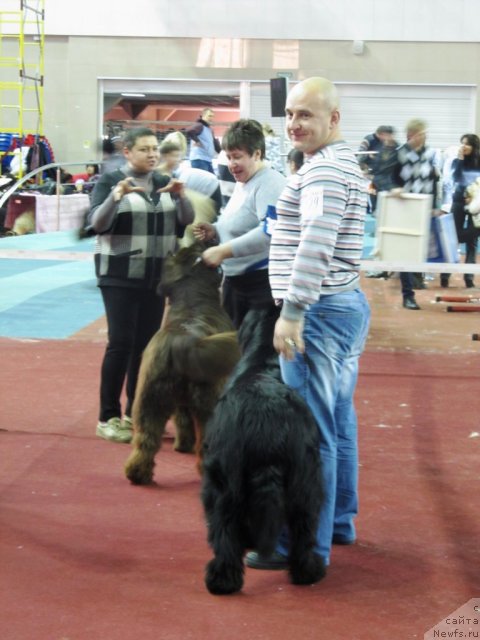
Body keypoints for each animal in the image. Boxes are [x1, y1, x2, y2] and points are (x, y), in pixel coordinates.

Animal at [199, 304, 326, 596]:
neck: (263, 365)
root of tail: (267, 416)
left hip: (224, 479)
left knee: (224, 528)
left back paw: (222, 580)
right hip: (305, 476)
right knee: (304, 527)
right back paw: (307, 572)